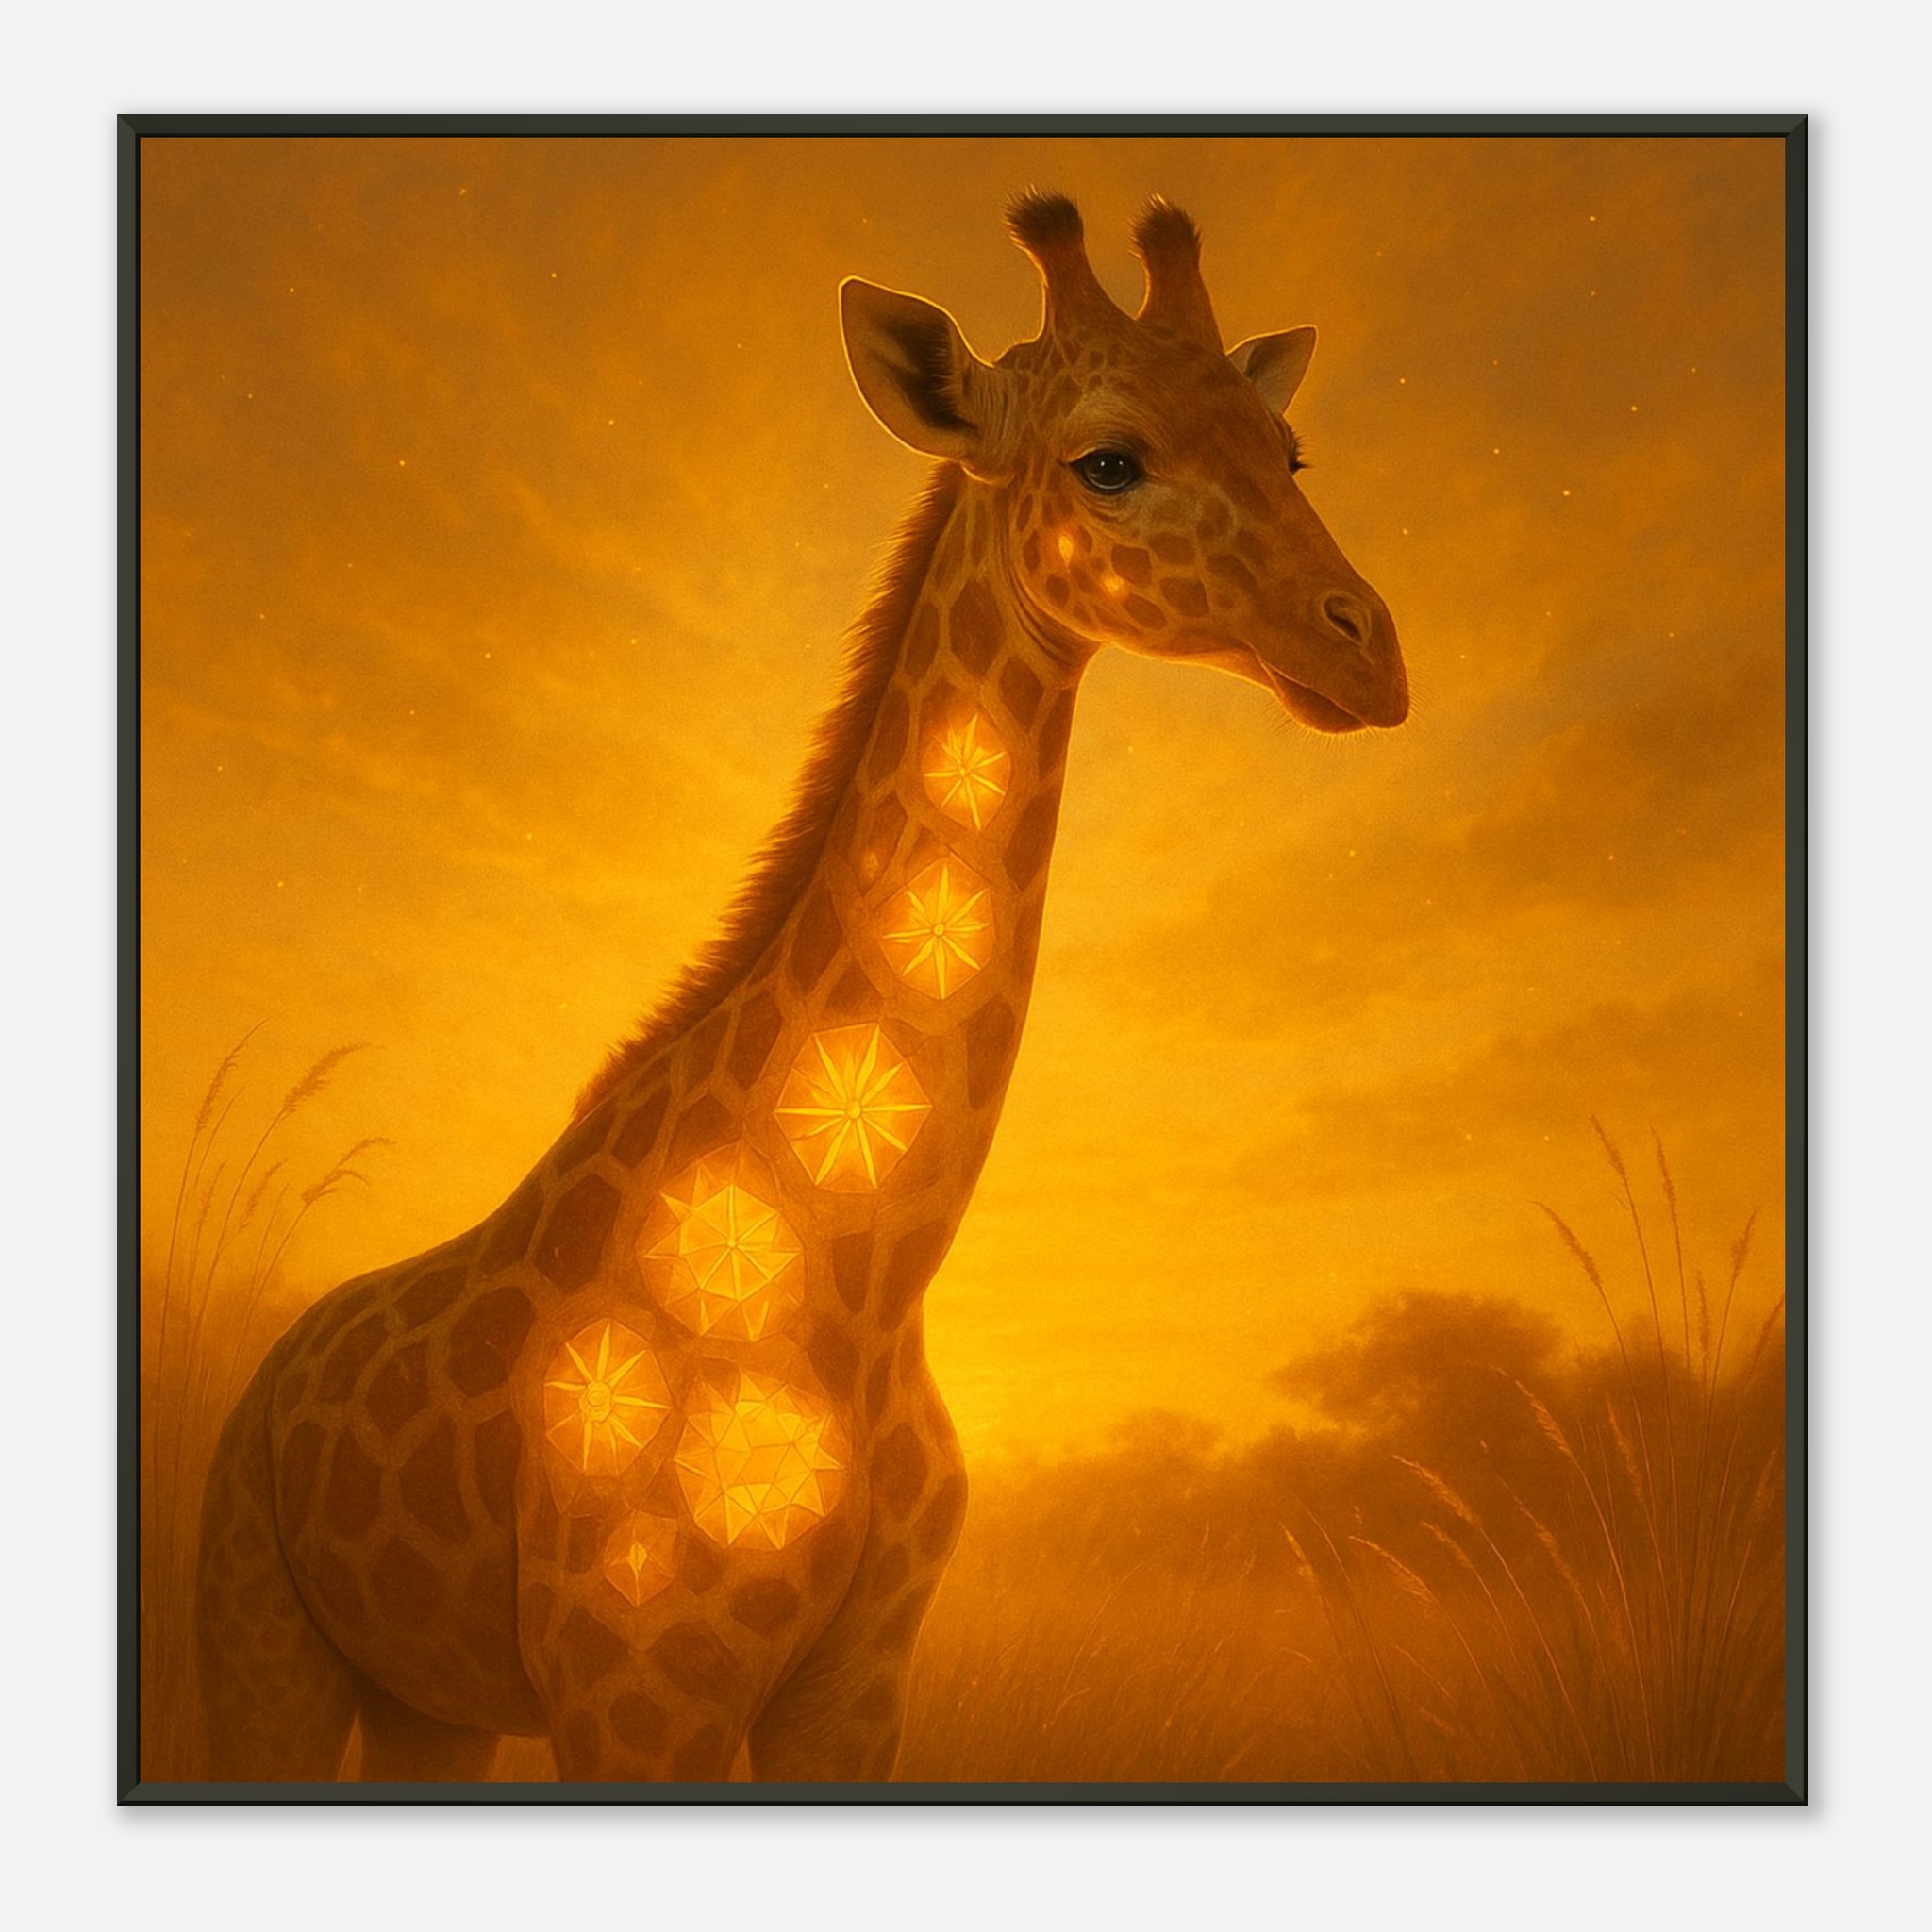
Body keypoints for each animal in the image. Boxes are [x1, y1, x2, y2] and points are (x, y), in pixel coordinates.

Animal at [194, 192, 1408, 1784]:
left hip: (426, 1702)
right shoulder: (639, 1690)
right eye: (1108, 461)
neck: (862, 1284)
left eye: (1290, 452)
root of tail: (266, 1376)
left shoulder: (856, 1686)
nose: (1369, 653)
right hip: (263, 1632)